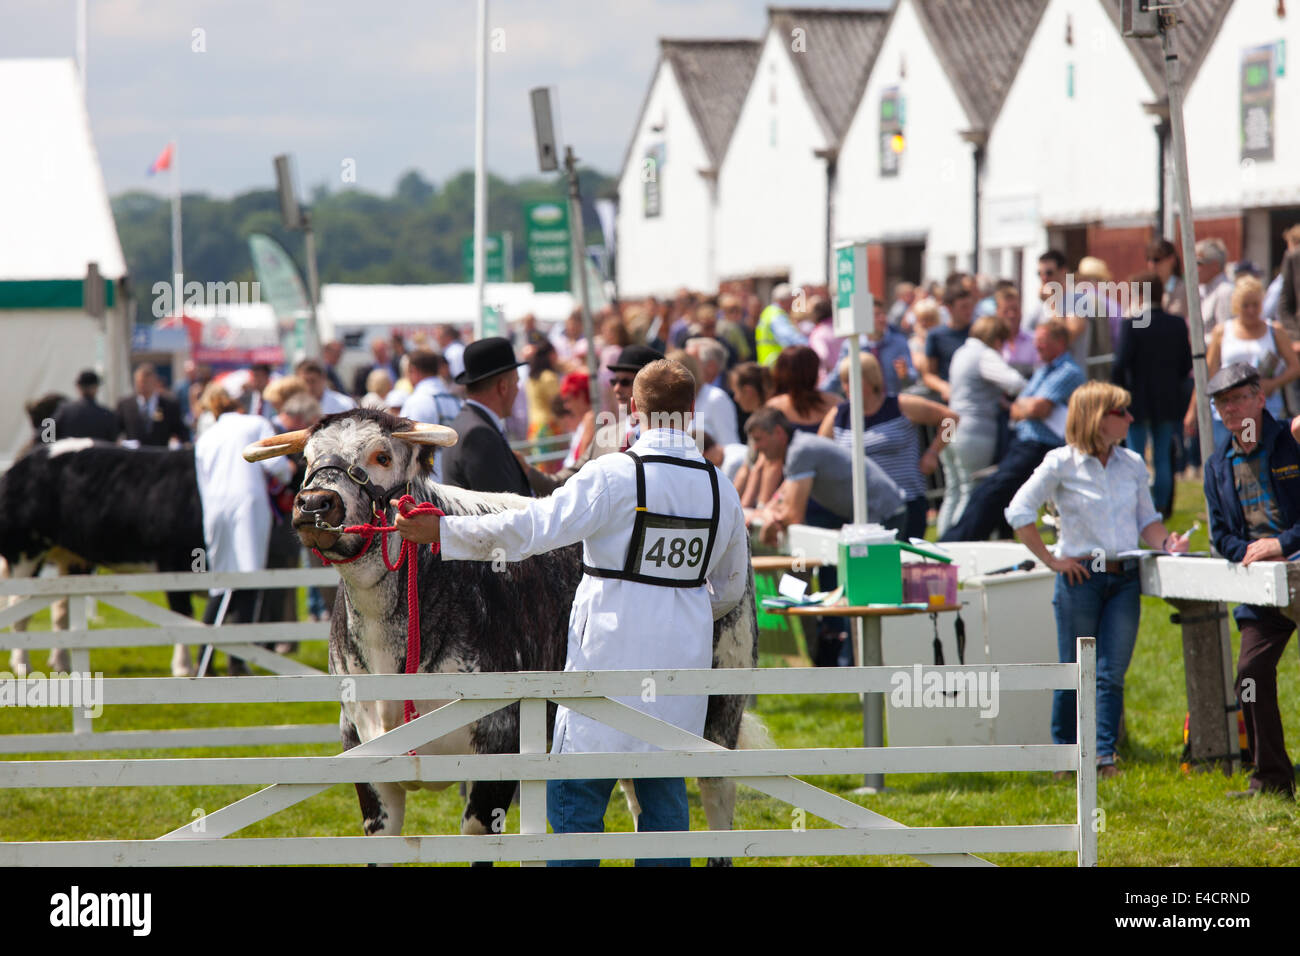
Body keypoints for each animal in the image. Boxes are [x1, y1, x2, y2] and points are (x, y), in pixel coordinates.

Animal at [0, 437, 204, 676]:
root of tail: (19, 464)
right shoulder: (172, 563)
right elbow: (183, 617)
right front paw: (184, 668)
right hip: (24, 553)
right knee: (20, 609)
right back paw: (22, 665)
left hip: (72, 559)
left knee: (61, 611)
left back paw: (61, 664)